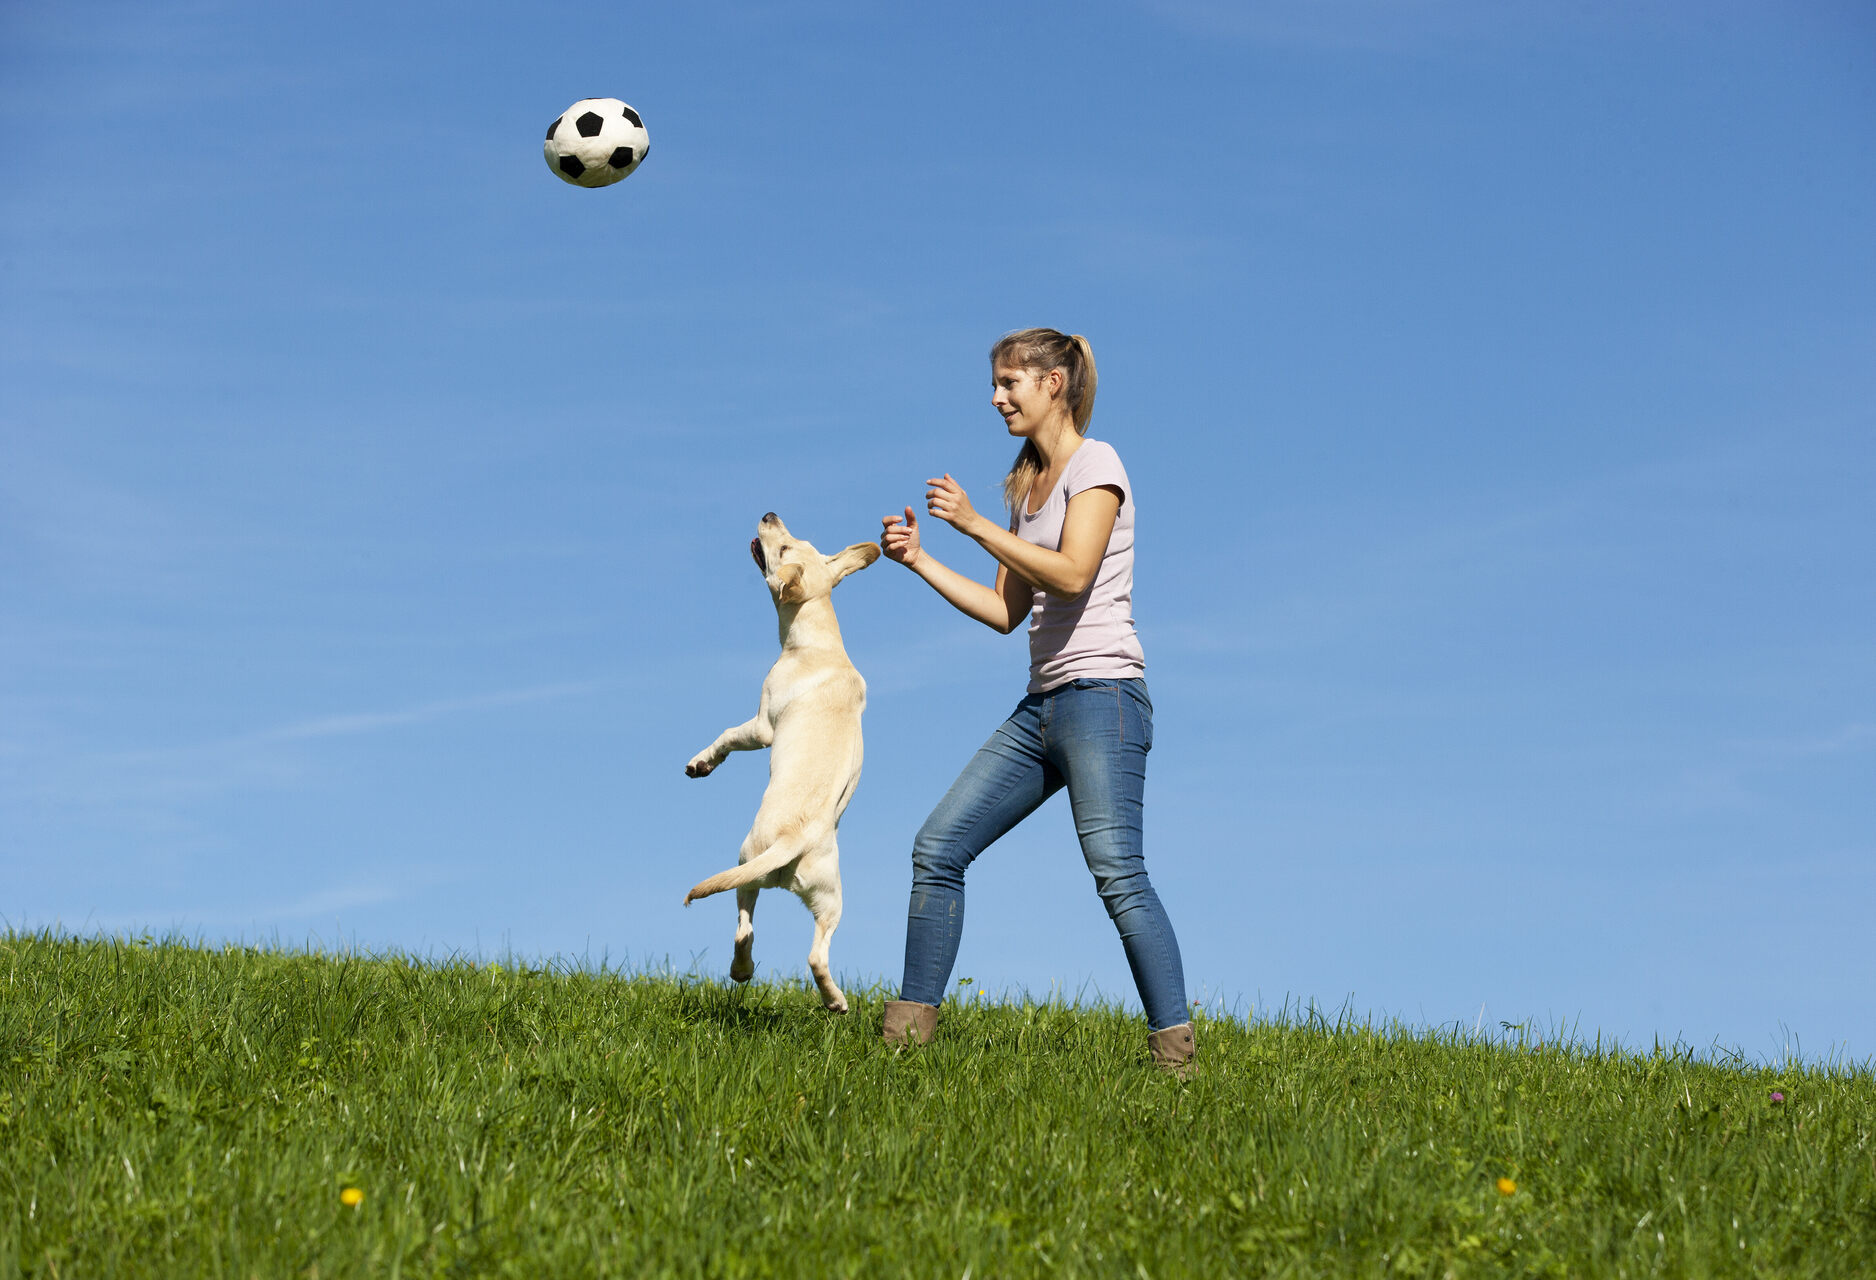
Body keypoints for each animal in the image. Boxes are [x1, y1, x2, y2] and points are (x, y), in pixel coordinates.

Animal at [682, 506, 877, 1005]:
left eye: (784, 547)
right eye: (797, 540)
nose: (770, 514)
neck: (819, 641)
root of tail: (793, 837)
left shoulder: (763, 725)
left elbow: (728, 735)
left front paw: (701, 763)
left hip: (745, 863)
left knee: (743, 929)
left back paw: (742, 971)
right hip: (831, 895)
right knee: (816, 955)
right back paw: (835, 1001)